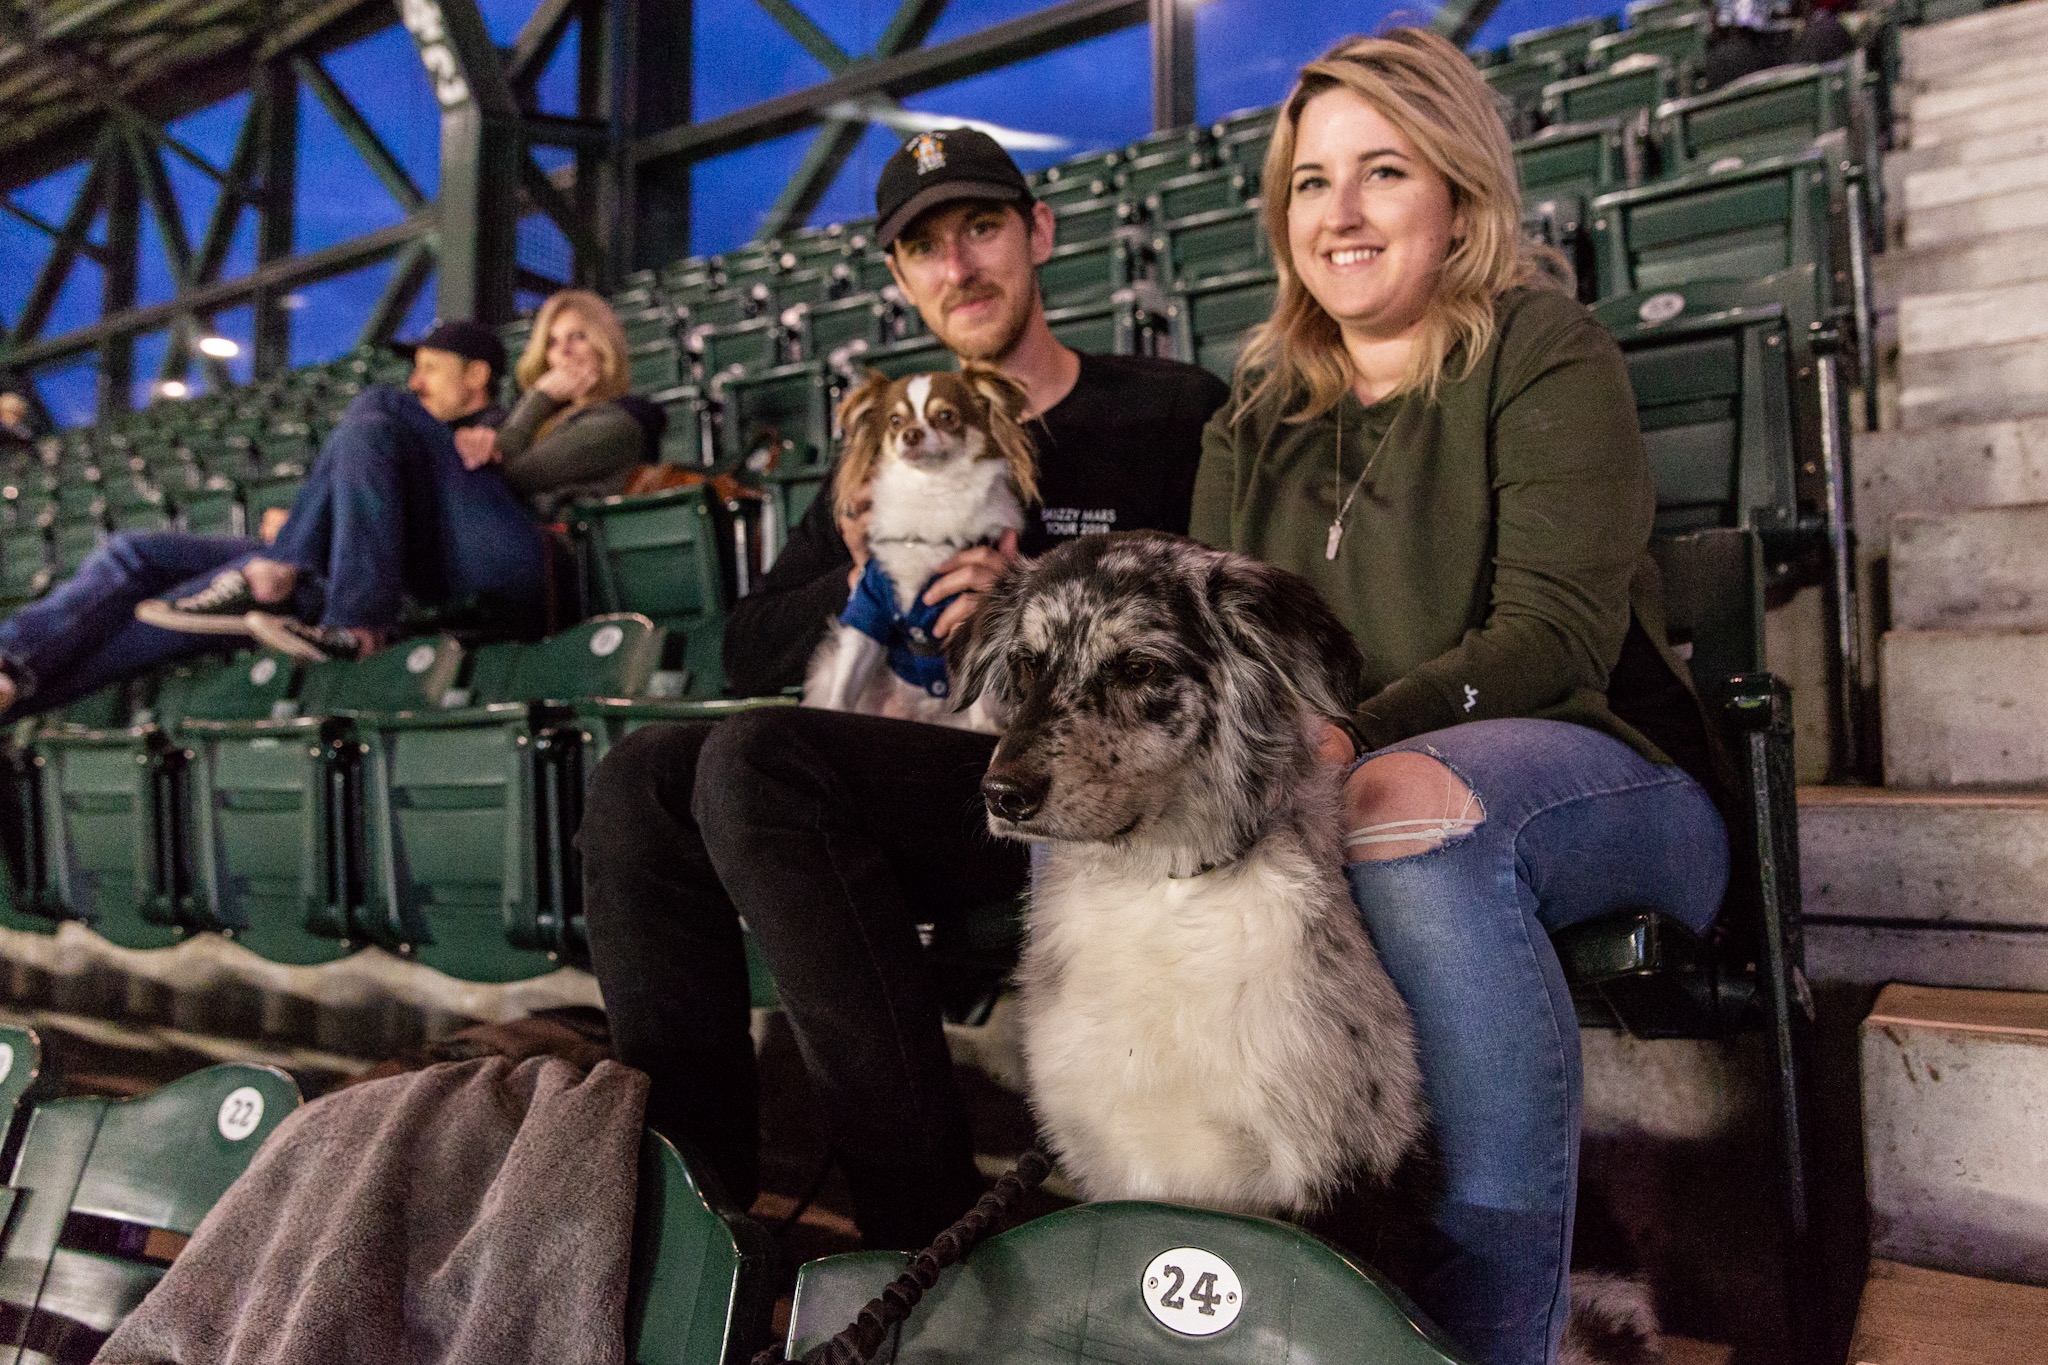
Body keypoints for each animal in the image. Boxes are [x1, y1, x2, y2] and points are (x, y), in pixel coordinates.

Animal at [802, 358, 1040, 732]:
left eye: (946, 416)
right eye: (895, 421)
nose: (911, 433)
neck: (930, 490)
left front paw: (984, 725)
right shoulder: (870, 603)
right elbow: (849, 673)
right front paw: (834, 711)